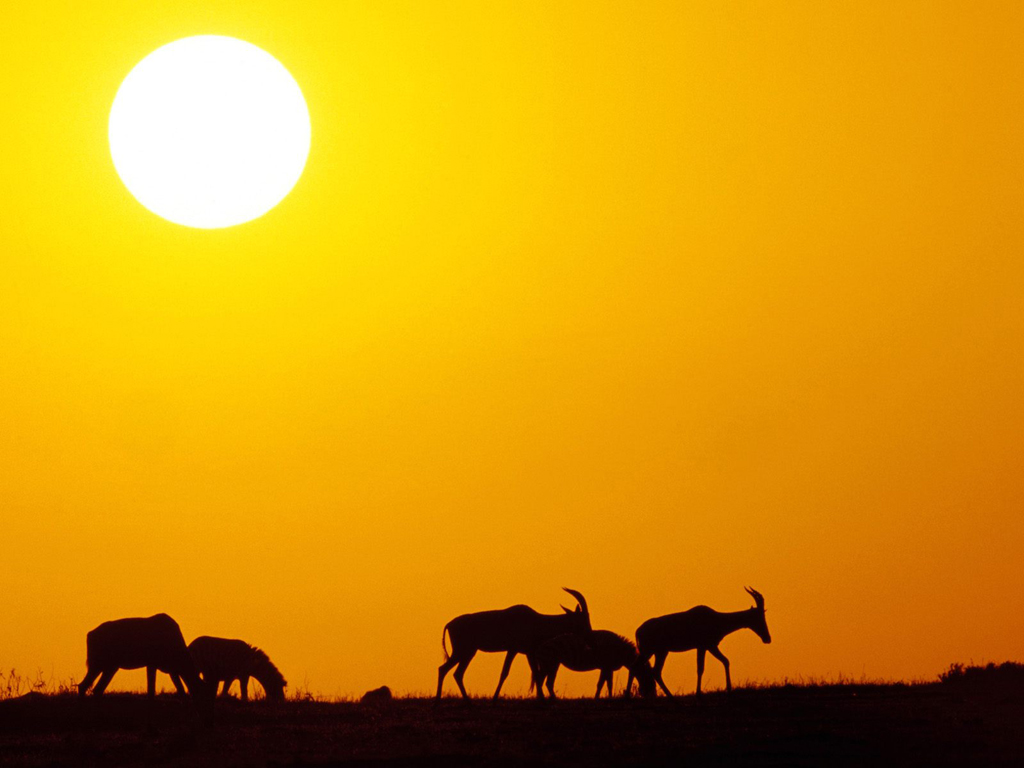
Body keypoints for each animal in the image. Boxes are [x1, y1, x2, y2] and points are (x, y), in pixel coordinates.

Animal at [78, 614, 210, 704]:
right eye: (203, 696)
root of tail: (89, 635)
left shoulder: (172, 670)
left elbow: (181, 691)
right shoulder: (152, 663)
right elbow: (151, 692)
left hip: (111, 666)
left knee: (95, 689)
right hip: (98, 663)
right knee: (84, 686)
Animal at [434, 589, 593, 704]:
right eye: (583, 619)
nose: (589, 638)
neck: (537, 620)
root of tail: (449, 624)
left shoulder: (528, 652)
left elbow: (535, 673)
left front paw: (541, 699)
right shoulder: (513, 650)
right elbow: (505, 672)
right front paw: (495, 698)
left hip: (468, 653)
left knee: (456, 673)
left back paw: (465, 701)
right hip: (463, 652)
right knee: (445, 669)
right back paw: (439, 701)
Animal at [626, 589, 770, 696]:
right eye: (759, 616)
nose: (767, 638)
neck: (716, 618)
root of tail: (638, 631)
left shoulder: (710, 646)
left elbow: (725, 661)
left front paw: (728, 688)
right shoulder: (703, 646)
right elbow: (700, 668)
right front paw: (698, 693)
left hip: (659, 652)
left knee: (649, 670)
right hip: (650, 651)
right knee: (642, 668)